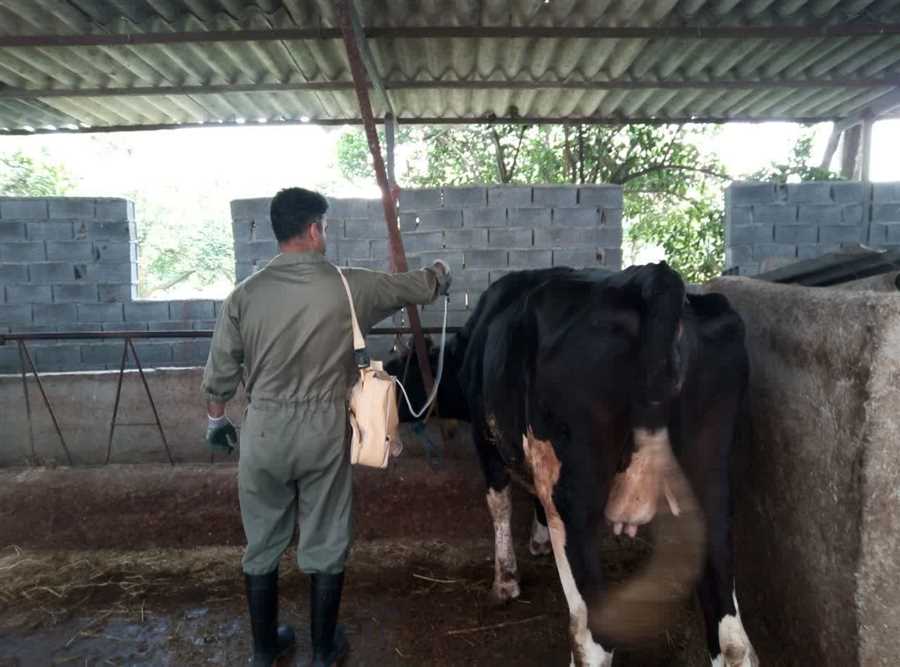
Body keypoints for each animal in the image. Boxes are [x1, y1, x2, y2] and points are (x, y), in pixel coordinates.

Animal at [386, 264, 752, 664]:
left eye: (395, 371)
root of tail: (652, 278)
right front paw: (539, 540)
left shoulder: (488, 440)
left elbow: (499, 504)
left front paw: (506, 581)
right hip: (711, 482)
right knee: (732, 640)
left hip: (574, 497)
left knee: (591, 640)